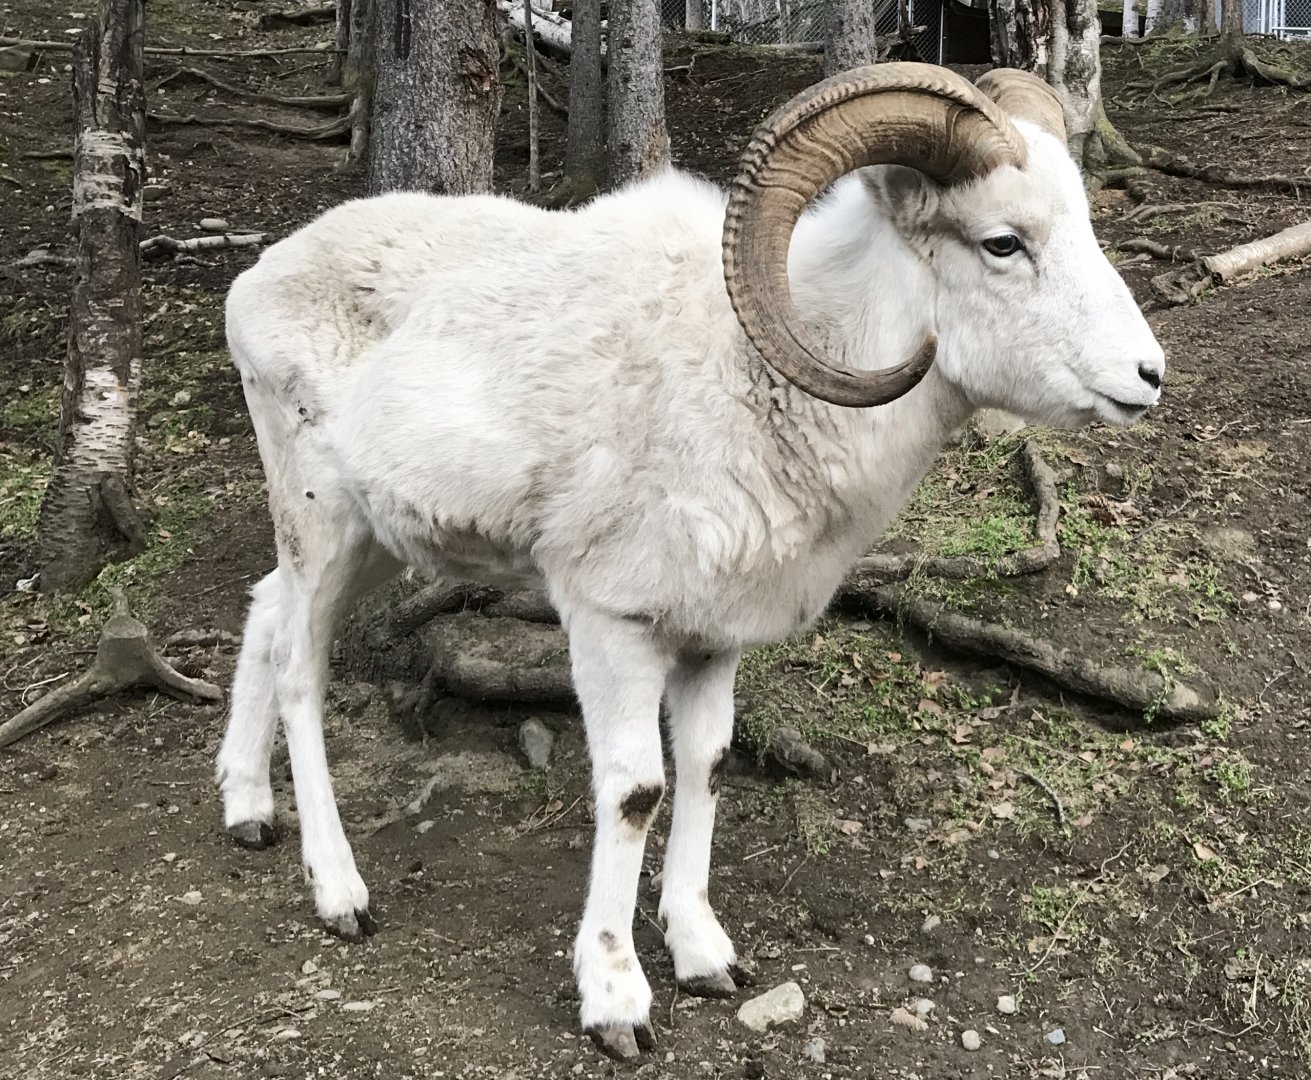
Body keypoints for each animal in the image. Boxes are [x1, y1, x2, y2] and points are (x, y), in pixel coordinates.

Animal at [215, 63, 1164, 1059]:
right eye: (1001, 242)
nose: (1147, 377)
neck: (752, 382)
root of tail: (258, 280)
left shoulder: (713, 639)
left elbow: (705, 768)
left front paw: (705, 956)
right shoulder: (609, 623)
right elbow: (636, 791)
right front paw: (615, 1001)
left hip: (373, 541)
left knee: (264, 611)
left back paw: (247, 812)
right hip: (322, 522)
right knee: (298, 670)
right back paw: (339, 892)